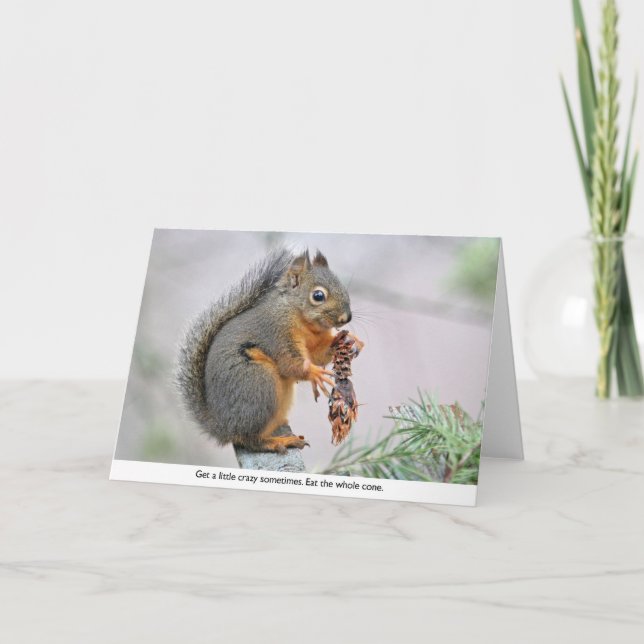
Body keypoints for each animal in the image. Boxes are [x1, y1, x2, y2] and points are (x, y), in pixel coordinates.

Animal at [175, 248, 362, 454]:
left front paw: (347, 340)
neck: (300, 317)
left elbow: (318, 355)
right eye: (318, 296)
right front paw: (315, 374)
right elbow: (290, 363)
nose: (346, 318)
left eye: (343, 288)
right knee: (249, 439)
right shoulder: (277, 332)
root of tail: (223, 426)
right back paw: (280, 442)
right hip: (259, 383)